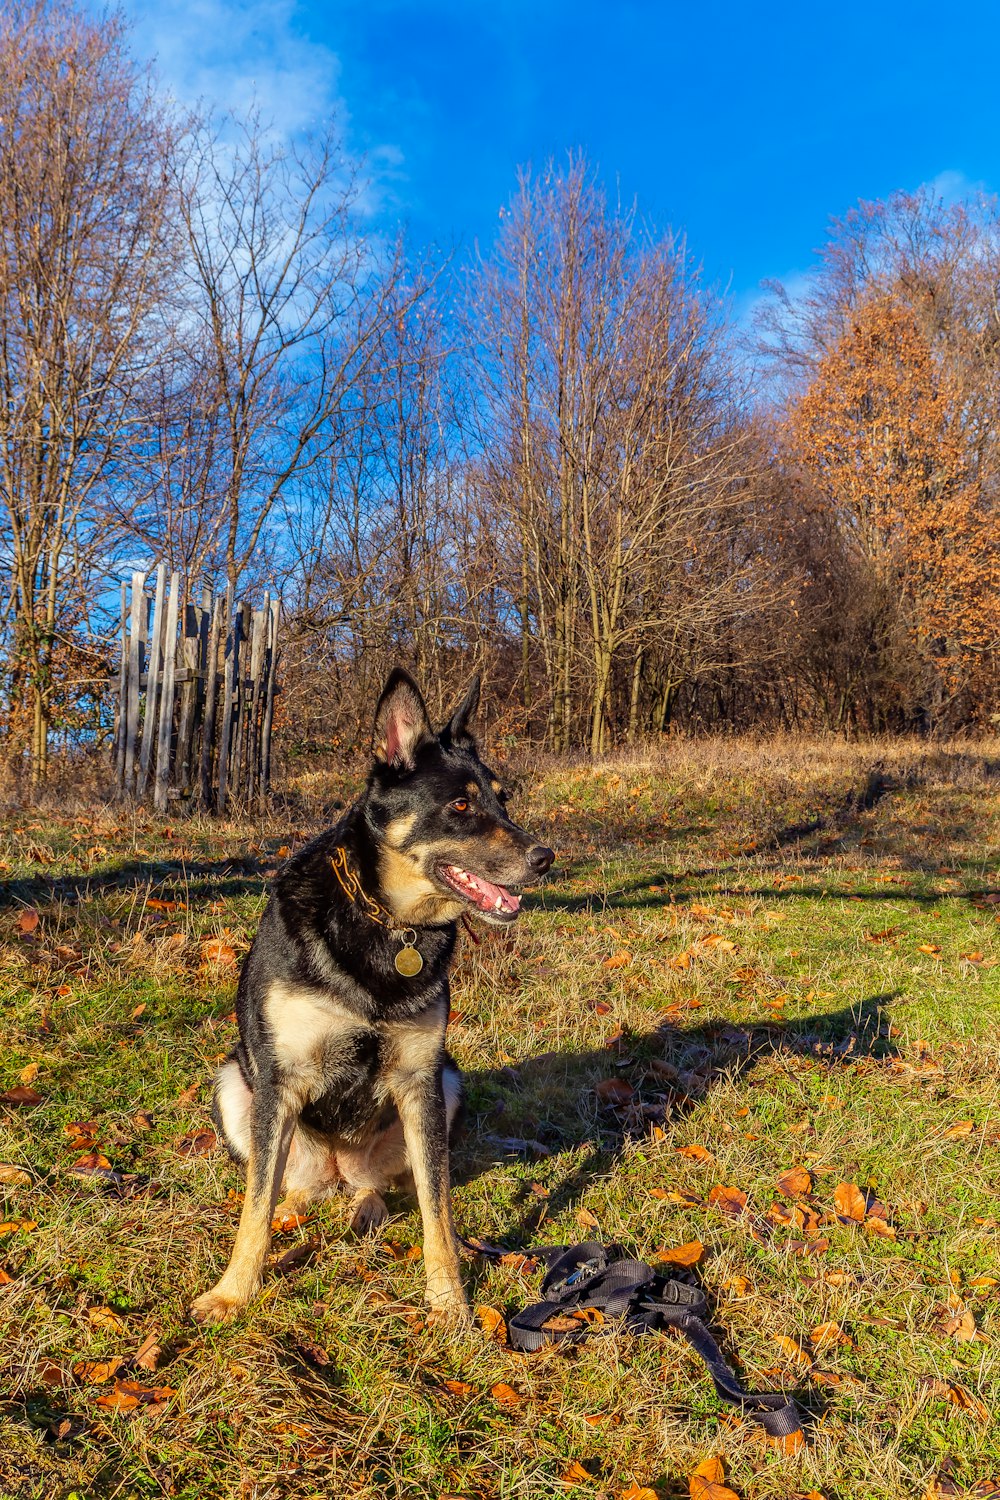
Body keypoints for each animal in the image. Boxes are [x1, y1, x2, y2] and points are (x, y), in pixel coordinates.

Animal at [187, 669, 554, 1326]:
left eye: (503, 799)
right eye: (461, 806)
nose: (546, 857)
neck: (387, 922)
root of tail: (338, 1170)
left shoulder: (418, 1079)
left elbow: (437, 1205)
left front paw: (449, 1299)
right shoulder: (279, 1079)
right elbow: (253, 1205)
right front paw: (233, 1292)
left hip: (446, 1082)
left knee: (378, 1187)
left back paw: (367, 1208)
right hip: (235, 1086)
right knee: (280, 1187)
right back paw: (295, 1212)